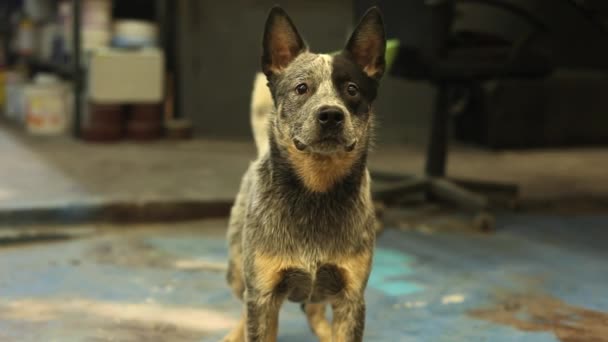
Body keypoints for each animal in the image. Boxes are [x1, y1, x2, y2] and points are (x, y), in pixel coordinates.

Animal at [223, 6, 384, 342]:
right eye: (301, 88)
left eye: (352, 89)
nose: (331, 114)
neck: (316, 193)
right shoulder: (263, 295)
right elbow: (255, 316)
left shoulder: (351, 296)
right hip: (238, 270)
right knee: (243, 303)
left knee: (313, 309)